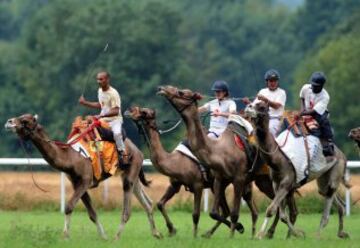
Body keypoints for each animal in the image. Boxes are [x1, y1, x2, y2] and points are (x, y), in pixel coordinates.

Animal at [4, 114, 161, 240]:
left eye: (25, 120)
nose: (9, 122)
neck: (70, 157)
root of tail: (137, 150)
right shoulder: (77, 183)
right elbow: (92, 214)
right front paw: (103, 236)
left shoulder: (85, 180)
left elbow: (69, 206)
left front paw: (65, 236)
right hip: (131, 175)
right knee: (147, 202)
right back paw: (156, 234)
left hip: (131, 170)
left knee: (127, 210)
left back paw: (117, 237)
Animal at [126, 105, 256, 237]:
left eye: (143, 112)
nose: (127, 111)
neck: (175, 161)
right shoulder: (175, 184)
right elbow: (160, 204)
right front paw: (172, 229)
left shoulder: (197, 185)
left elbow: (195, 214)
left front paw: (194, 235)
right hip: (219, 184)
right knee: (225, 210)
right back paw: (209, 233)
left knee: (242, 201)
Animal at [156, 85, 296, 238]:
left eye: (181, 92)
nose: (163, 88)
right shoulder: (211, 180)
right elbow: (213, 212)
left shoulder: (235, 179)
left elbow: (232, 213)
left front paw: (235, 232)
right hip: (262, 181)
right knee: (274, 206)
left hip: (270, 178)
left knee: (282, 204)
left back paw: (274, 233)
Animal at [246, 101, 350, 239]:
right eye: (252, 102)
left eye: (262, 106)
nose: (248, 108)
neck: (278, 159)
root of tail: (342, 154)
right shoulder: (277, 184)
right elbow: (283, 215)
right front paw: (297, 233)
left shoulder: (287, 182)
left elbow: (271, 210)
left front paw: (260, 234)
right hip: (323, 178)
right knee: (334, 200)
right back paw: (341, 233)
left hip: (336, 170)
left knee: (328, 203)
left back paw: (318, 236)